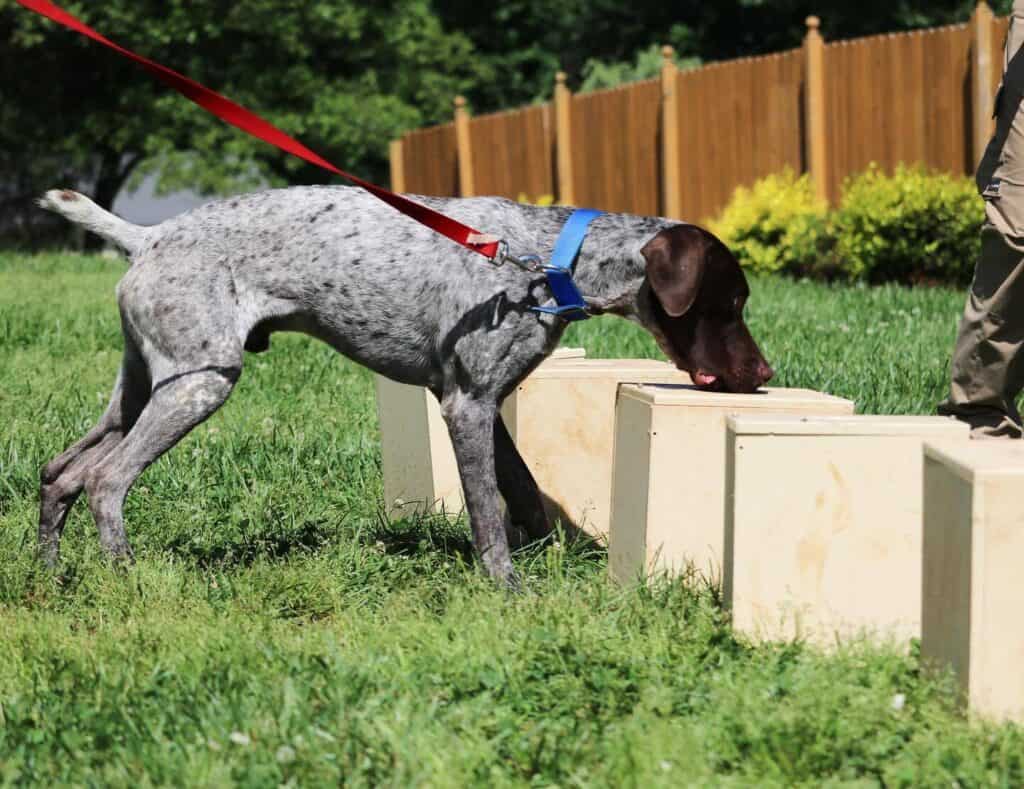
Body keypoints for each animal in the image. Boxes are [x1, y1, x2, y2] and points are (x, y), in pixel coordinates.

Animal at [39, 186, 774, 585]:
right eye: (732, 301)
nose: (765, 375)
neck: (545, 264)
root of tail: (149, 236)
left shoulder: (484, 404)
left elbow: (525, 493)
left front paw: (551, 558)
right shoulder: (465, 406)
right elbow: (488, 515)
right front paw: (509, 588)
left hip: (143, 388)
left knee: (60, 473)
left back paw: (49, 574)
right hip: (199, 386)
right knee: (105, 480)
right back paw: (125, 578)